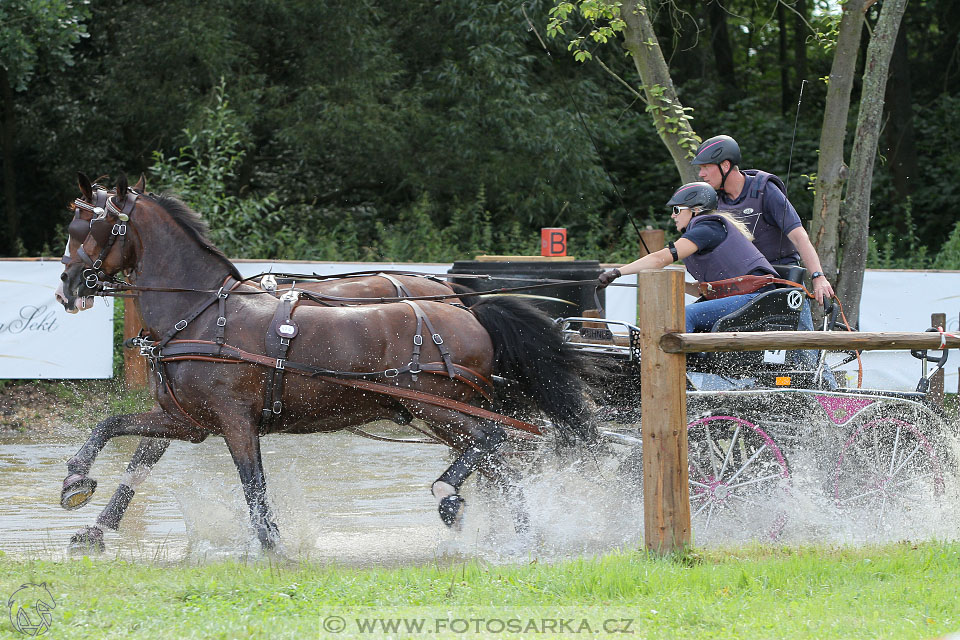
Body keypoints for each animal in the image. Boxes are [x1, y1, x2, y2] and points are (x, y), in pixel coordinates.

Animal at [58, 172, 592, 552]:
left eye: (90, 228)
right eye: (72, 228)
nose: (66, 286)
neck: (204, 313)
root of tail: (467, 308)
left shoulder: (234, 420)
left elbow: (253, 484)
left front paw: (271, 545)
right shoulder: (185, 420)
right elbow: (120, 439)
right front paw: (80, 491)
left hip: (439, 408)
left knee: (493, 440)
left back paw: (450, 499)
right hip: (441, 415)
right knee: (499, 464)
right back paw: (516, 533)